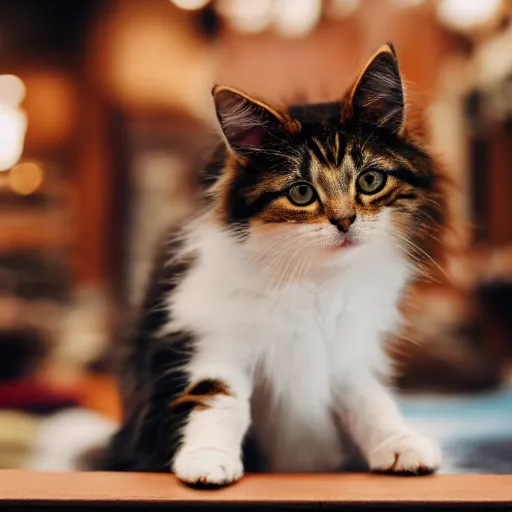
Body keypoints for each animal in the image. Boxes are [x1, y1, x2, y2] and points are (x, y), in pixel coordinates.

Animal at [104, 43, 444, 484]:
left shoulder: (349, 348)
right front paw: (208, 459)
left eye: (370, 181)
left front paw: (400, 444)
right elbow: (219, 396)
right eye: (301, 193)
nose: (345, 220)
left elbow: (368, 399)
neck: (315, 278)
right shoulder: (212, 333)